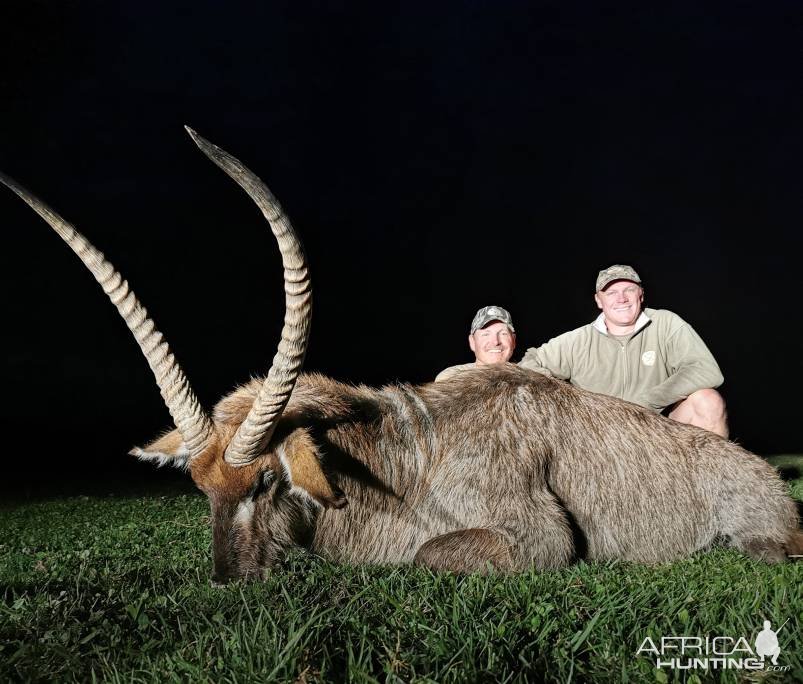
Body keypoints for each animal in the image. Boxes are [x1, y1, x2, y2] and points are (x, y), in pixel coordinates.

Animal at [3, 125, 800, 580]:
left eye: (265, 483)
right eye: (202, 490)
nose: (229, 583)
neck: (406, 454)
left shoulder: (541, 540)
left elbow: (426, 557)